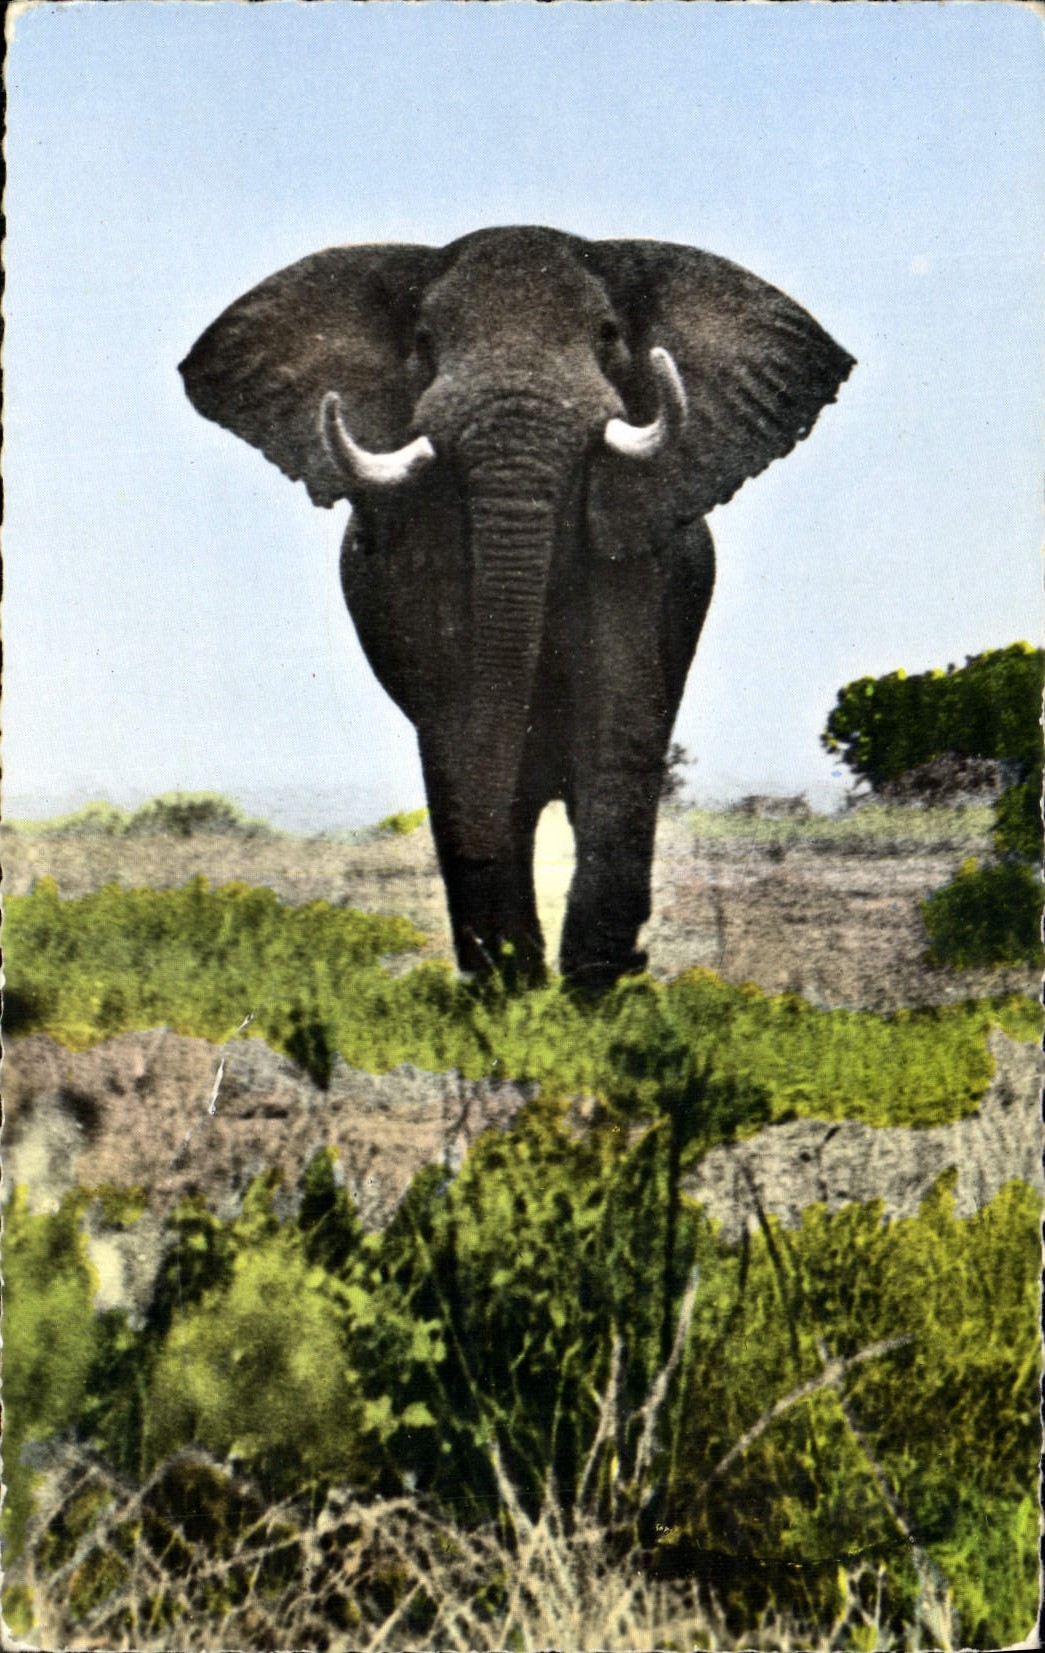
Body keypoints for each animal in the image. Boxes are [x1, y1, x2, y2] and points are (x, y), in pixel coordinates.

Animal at [181, 226, 853, 987]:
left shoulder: (634, 544)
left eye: (607, 334)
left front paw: (594, 991)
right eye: (423, 341)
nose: (641, 955)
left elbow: (618, 717)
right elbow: (456, 724)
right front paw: (512, 989)